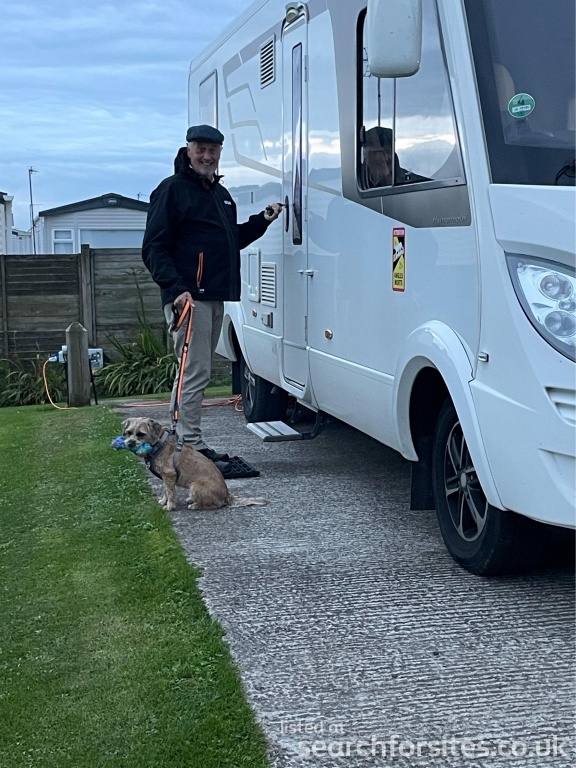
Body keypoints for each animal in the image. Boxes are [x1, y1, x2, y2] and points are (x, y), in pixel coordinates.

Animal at [121, 417, 268, 511]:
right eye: (128, 433)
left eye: (141, 434)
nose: (130, 443)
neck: (159, 443)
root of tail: (227, 496)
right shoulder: (166, 477)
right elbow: (166, 491)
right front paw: (164, 501)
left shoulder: (169, 475)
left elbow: (170, 492)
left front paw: (169, 506)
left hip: (195, 486)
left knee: (215, 505)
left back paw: (195, 505)